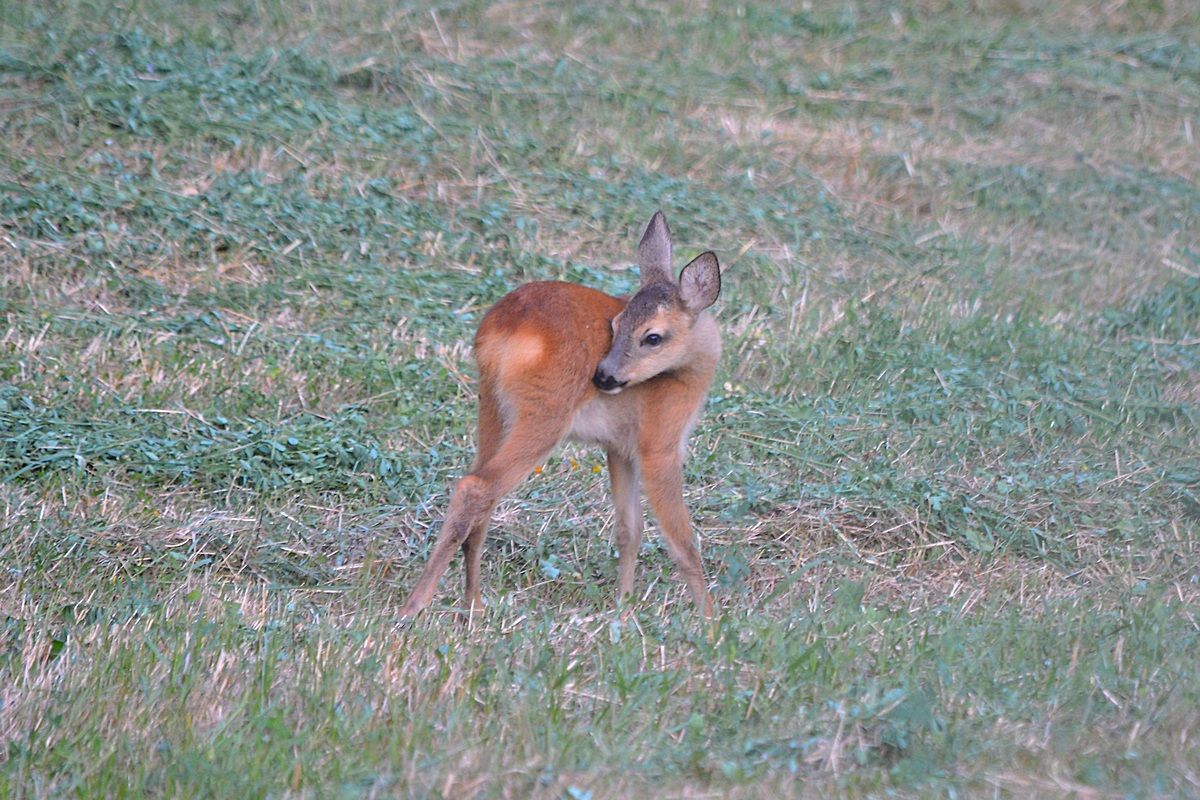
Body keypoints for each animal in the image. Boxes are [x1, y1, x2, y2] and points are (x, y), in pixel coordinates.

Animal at [397, 211, 721, 619]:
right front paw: (710, 619)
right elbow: (681, 540)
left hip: (492, 409)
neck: (688, 375)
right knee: (476, 487)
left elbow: (629, 529)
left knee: (480, 493)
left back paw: (474, 604)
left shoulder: (619, 448)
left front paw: (623, 608)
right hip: (545, 414)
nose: (603, 377)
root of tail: (504, 327)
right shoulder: (659, 444)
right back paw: (414, 605)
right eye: (617, 326)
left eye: (652, 336)